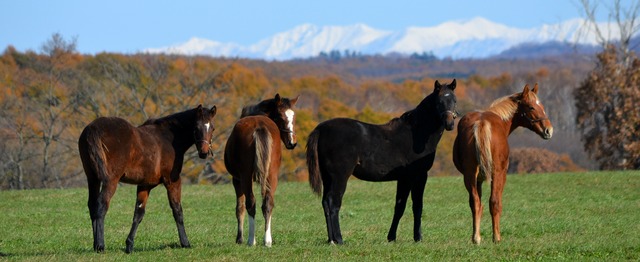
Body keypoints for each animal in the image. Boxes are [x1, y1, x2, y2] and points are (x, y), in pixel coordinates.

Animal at [77, 105, 218, 254]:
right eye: (196, 127)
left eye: (212, 128)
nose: (203, 152)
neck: (168, 138)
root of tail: (93, 128)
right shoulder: (172, 181)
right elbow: (177, 210)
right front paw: (185, 242)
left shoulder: (144, 185)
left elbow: (138, 213)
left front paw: (129, 245)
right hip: (110, 181)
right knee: (101, 206)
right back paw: (100, 246)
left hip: (92, 179)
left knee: (92, 205)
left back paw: (95, 245)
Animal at [225, 93, 300, 246]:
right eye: (281, 117)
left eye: (293, 117)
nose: (292, 142)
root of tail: (259, 126)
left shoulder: (237, 180)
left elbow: (240, 208)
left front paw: (239, 238)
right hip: (272, 175)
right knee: (268, 203)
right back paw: (267, 240)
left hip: (246, 177)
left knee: (251, 204)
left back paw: (251, 240)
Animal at [304, 80, 456, 244]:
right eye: (439, 102)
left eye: (454, 100)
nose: (449, 123)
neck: (416, 134)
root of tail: (321, 129)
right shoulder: (418, 176)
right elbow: (416, 206)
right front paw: (418, 238)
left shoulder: (404, 178)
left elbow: (399, 206)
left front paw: (392, 237)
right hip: (339, 176)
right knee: (333, 203)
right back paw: (339, 239)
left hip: (328, 177)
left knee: (326, 203)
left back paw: (330, 240)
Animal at [452, 83, 552, 244]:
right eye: (531, 107)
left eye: (541, 106)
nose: (549, 130)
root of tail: (482, 122)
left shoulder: (478, 179)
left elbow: (477, 204)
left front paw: (476, 236)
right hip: (497, 173)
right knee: (494, 202)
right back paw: (496, 237)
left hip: (470, 175)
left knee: (475, 203)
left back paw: (476, 238)